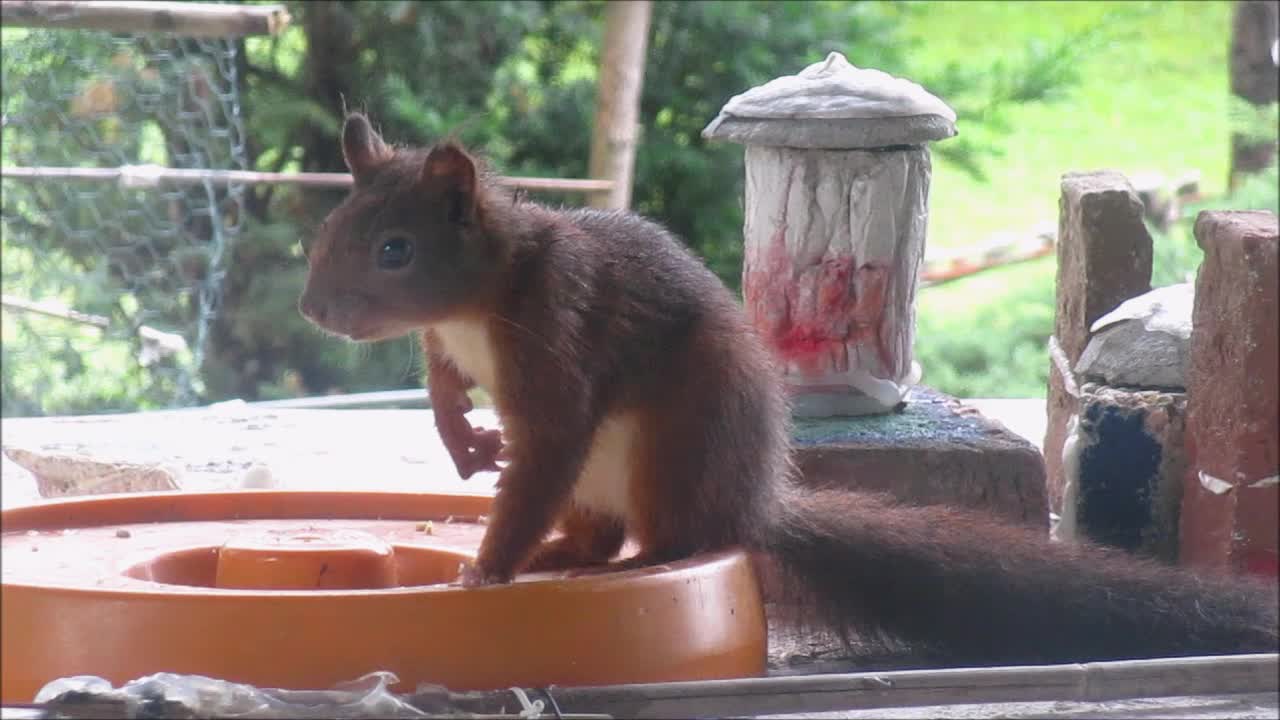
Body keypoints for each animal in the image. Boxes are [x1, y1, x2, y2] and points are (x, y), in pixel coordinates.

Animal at [294, 113, 1274, 666]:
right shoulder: (450, 345)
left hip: (675, 441)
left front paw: (487, 568)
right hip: (619, 477)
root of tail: (754, 500)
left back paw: (618, 561)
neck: (482, 292)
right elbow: (444, 383)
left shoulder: (558, 331)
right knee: (601, 528)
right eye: (333, 224)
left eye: (395, 250)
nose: (313, 310)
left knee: (675, 536)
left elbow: (547, 445)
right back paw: (565, 553)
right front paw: (463, 439)